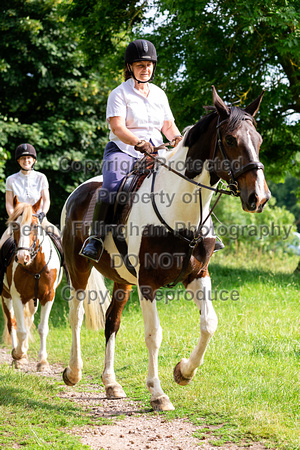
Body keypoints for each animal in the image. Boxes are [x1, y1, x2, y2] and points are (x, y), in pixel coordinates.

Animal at [0, 197, 62, 370]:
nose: (22, 257)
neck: (34, 266)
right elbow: (19, 329)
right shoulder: (17, 297)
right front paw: (18, 355)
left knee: (29, 321)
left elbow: (42, 328)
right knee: (13, 323)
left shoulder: (48, 296)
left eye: (34, 226)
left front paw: (43, 362)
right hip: (5, 296)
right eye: (15, 225)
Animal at [61, 85, 272, 412]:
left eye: (259, 140)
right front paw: (158, 393)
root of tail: (78, 192)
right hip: (78, 268)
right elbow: (154, 334)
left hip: (123, 280)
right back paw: (73, 372)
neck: (181, 211)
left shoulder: (197, 276)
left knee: (111, 321)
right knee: (76, 315)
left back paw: (111, 383)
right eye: (230, 139)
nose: (258, 198)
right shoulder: (148, 283)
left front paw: (183, 372)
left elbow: (209, 323)